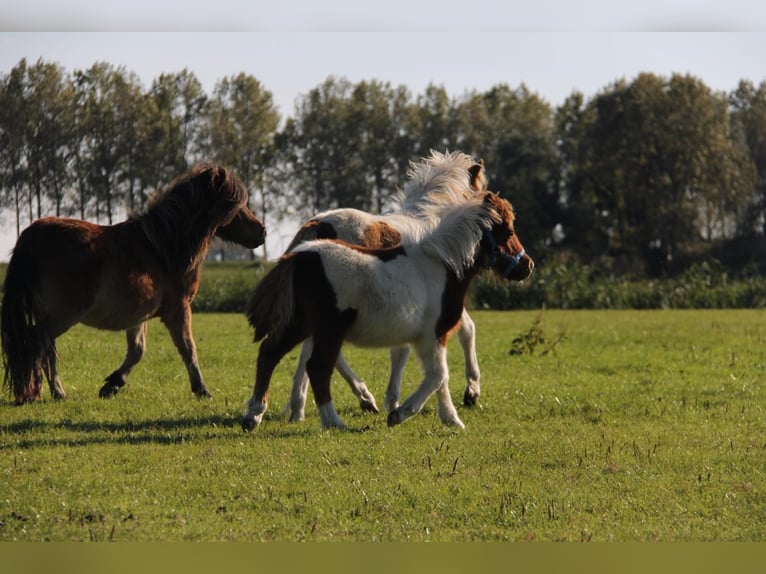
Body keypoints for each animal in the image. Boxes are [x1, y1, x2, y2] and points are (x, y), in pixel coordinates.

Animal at [1, 162, 268, 404]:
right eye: (238, 205)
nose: (263, 232)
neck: (162, 248)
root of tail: (30, 237)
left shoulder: (138, 315)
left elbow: (137, 351)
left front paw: (112, 384)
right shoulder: (178, 309)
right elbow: (188, 349)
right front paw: (202, 390)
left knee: (46, 349)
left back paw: (56, 392)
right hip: (64, 314)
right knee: (35, 341)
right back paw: (35, 392)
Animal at [244, 189, 536, 432]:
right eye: (509, 231)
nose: (528, 266)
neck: (441, 265)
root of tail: (299, 257)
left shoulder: (431, 338)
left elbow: (439, 377)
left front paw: (451, 419)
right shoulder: (432, 335)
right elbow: (438, 374)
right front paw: (400, 413)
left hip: (301, 324)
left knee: (270, 353)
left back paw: (254, 415)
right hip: (328, 330)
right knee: (317, 366)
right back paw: (334, 420)